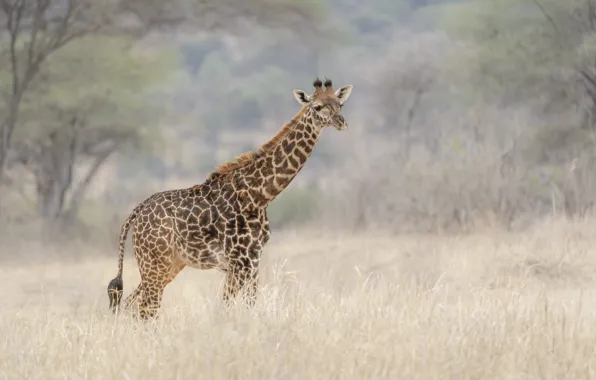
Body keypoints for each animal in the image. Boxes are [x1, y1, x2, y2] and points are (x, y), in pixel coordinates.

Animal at [106, 78, 354, 320]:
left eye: (340, 104)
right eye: (317, 106)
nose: (341, 122)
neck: (260, 195)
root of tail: (137, 212)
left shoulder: (253, 261)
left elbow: (249, 305)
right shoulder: (238, 261)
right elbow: (225, 308)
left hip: (171, 264)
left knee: (132, 305)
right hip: (155, 263)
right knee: (146, 309)